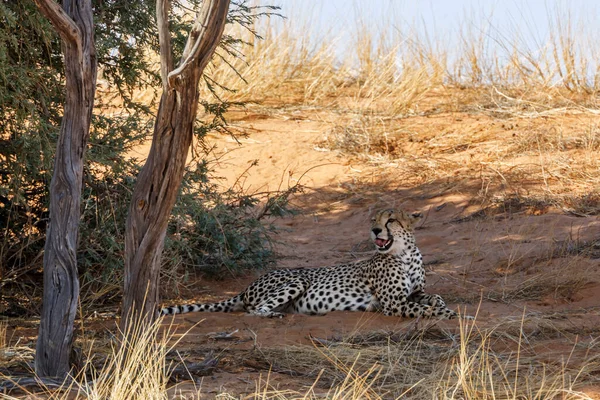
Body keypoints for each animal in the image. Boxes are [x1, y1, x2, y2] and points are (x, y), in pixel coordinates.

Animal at [158, 209, 454, 318]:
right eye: (374, 219)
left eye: (390, 219)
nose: (374, 231)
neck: (405, 253)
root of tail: (245, 288)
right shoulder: (393, 304)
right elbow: (424, 309)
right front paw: (449, 314)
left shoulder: (415, 293)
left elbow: (434, 298)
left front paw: (441, 306)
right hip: (298, 279)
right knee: (253, 311)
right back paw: (273, 315)